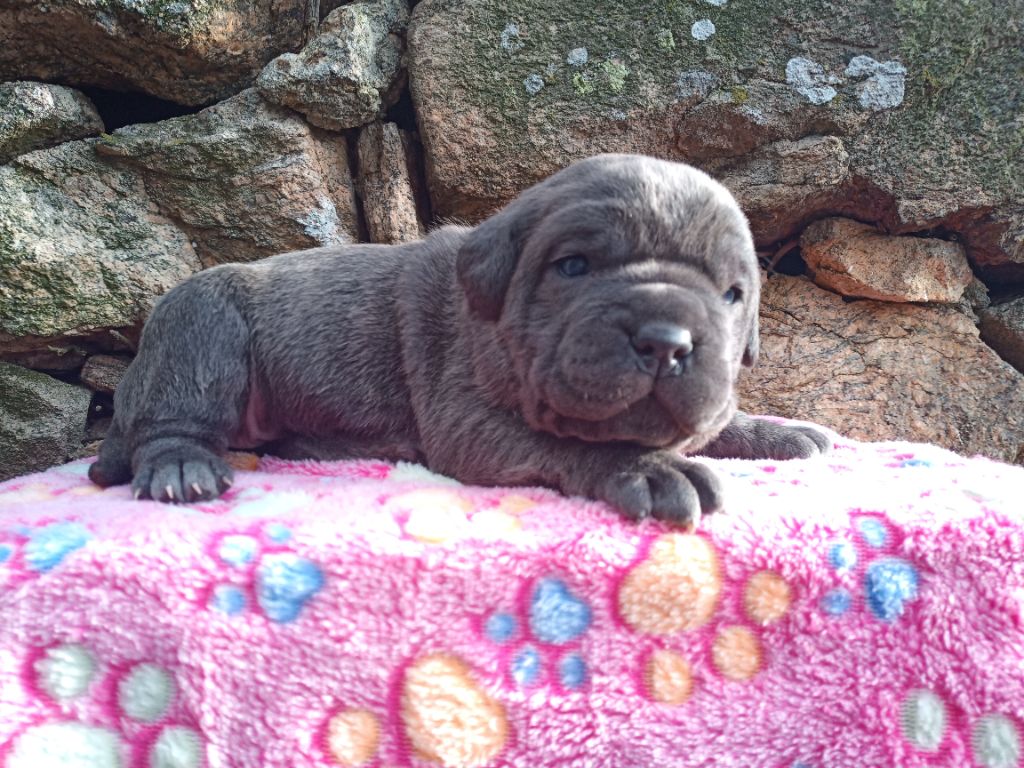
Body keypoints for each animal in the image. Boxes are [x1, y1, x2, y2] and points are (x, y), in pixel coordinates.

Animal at [90, 156, 831, 528]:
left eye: (732, 294)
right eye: (573, 267)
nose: (666, 341)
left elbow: (717, 418)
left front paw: (774, 431)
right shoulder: (465, 419)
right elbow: (577, 440)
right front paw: (649, 468)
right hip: (200, 325)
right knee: (173, 421)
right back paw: (179, 467)